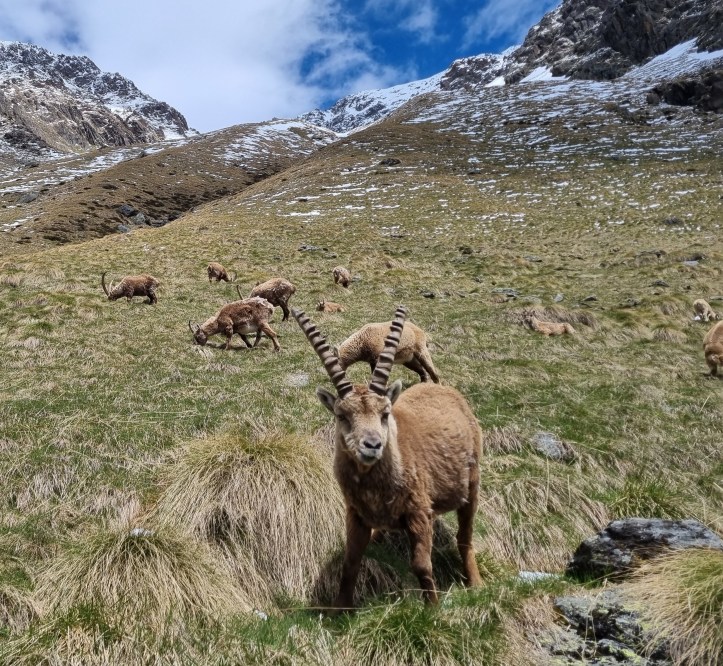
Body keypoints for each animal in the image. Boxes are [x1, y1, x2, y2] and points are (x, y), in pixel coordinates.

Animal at [293, 305, 483, 609]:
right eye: (342, 416)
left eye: (385, 413)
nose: (372, 445)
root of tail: (446, 391)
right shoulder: (356, 514)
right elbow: (350, 564)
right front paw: (339, 610)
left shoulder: (419, 511)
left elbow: (421, 565)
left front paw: (432, 608)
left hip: (471, 484)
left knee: (464, 538)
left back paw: (475, 582)